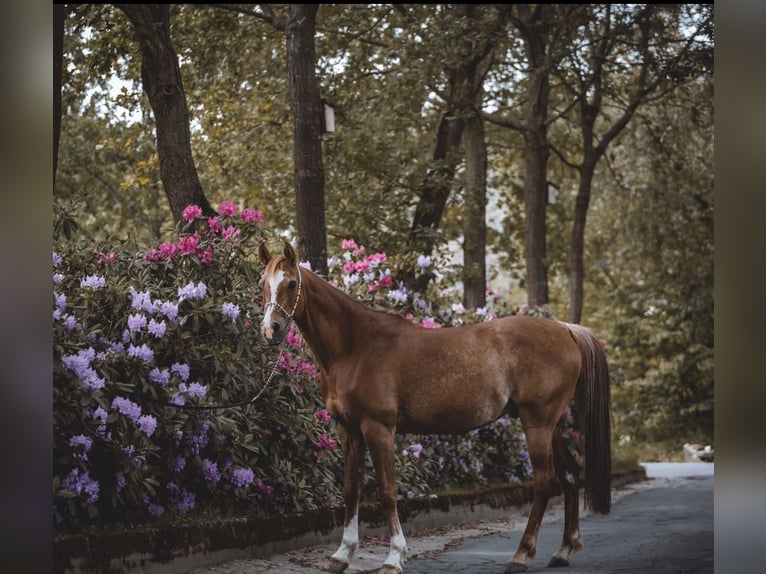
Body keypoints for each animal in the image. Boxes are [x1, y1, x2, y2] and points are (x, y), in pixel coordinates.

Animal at [258, 243, 612, 574]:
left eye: (291, 283)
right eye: (263, 283)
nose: (271, 329)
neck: (355, 346)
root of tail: (566, 329)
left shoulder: (378, 428)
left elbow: (387, 490)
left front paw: (394, 557)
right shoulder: (349, 430)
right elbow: (351, 489)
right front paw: (342, 555)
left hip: (537, 423)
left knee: (543, 483)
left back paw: (521, 555)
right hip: (550, 425)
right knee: (569, 475)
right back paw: (563, 550)